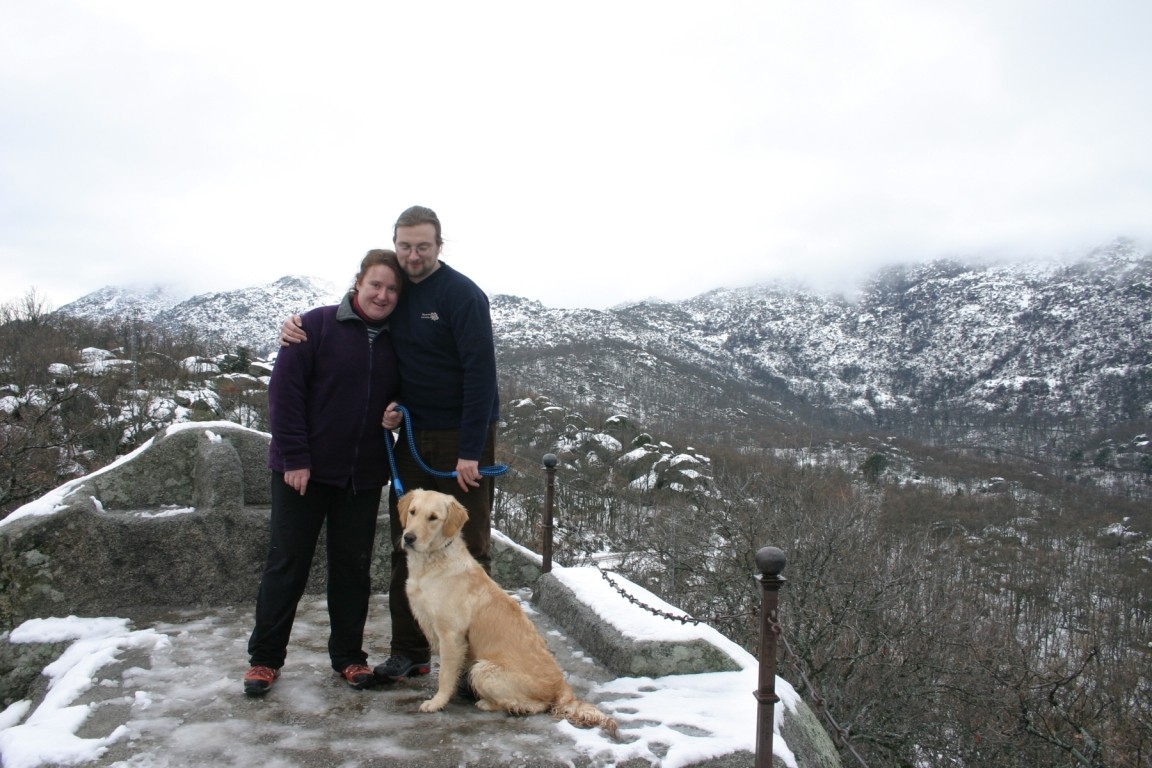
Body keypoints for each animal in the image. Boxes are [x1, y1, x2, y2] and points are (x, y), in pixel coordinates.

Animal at [396, 490, 617, 736]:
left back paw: (491, 703)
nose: (409, 537)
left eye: (433, 517)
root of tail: (561, 685)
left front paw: (437, 702)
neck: (433, 561)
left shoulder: (451, 636)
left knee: (535, 705)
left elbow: (445, 675)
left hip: (483, 668)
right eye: (413, 512)